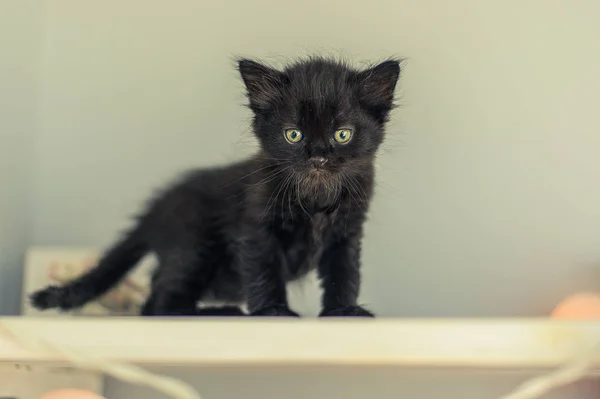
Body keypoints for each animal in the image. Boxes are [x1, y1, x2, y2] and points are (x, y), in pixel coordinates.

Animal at [30, 56, 400, 318]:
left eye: (343, 134)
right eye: (293, 134)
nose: (319, 157)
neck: (315, 197)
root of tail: (157, 207)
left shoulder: (347, 230)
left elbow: (344, 272)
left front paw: (343, 310)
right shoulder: (256, 225)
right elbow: (264, 268)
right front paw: (273, 311)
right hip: (194, 248)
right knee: (158, 303)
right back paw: (220, 311)